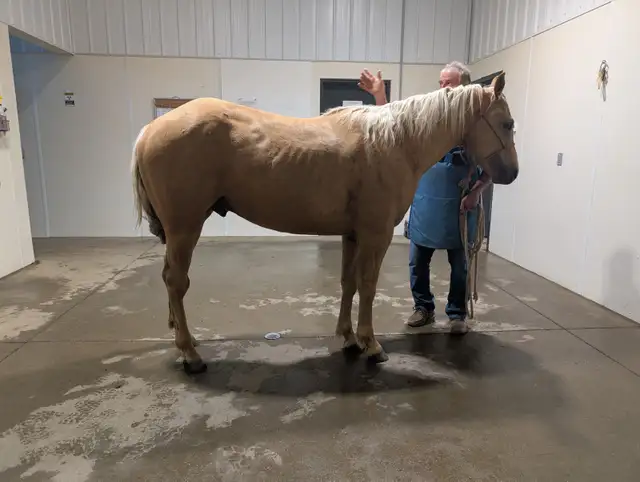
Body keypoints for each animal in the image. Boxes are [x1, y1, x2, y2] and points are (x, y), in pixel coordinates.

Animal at [131, 72, 518, 374]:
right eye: (508, 124)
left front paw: (348, 338)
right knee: (176, 282)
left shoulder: (353, 235)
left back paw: (188, 342)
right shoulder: (375, 235)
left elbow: (348, 284)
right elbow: (368, 286)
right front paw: (371, 344)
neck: (396, 142)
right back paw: (190, 354)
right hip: (185, 228)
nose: (511, 174)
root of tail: (149, 130)